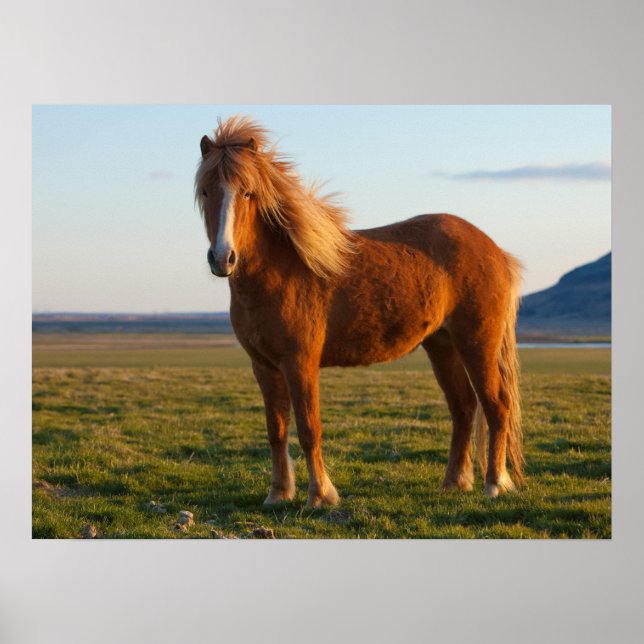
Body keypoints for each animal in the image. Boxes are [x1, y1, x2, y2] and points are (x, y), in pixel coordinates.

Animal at [195, 116, 523, 508]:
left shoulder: (300, 363)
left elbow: (309, 428)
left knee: (496, 406)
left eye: (247, 192)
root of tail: (494, 249)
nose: (222, 258)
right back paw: (454, 482)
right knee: (463, 407)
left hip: (478, 344)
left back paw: (494, 484)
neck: (278, 271)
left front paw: (319, 496)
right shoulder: (263, 366)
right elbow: (276, 430)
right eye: (205, 192)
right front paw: (278, 493)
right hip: (442, 345)